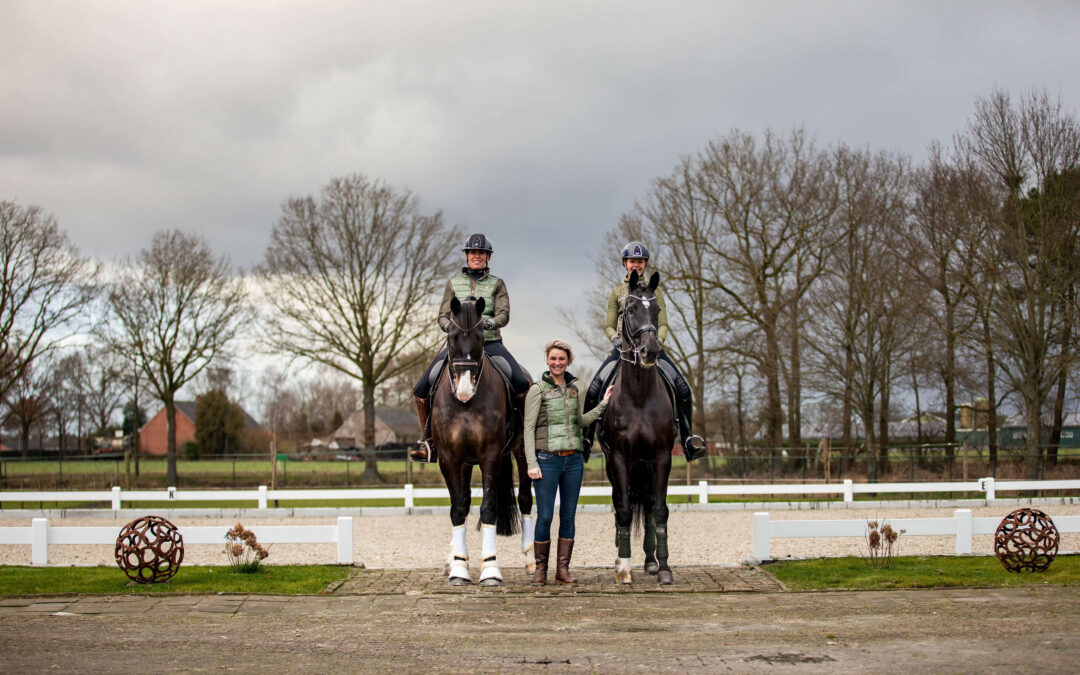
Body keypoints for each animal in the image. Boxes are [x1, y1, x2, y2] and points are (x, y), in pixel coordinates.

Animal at [427, 293, 533, 583]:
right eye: (452, 336)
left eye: (481, 337)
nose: (464, 390)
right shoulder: (450, 458)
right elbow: (457, 509)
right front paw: (458, 568)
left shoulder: (491, 456)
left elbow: (488, 509)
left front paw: (491, 569)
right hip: (465, 463)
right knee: (463, 502)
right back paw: (454, 559)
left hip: (521, 452)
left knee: (525, 499)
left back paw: (531, 559)